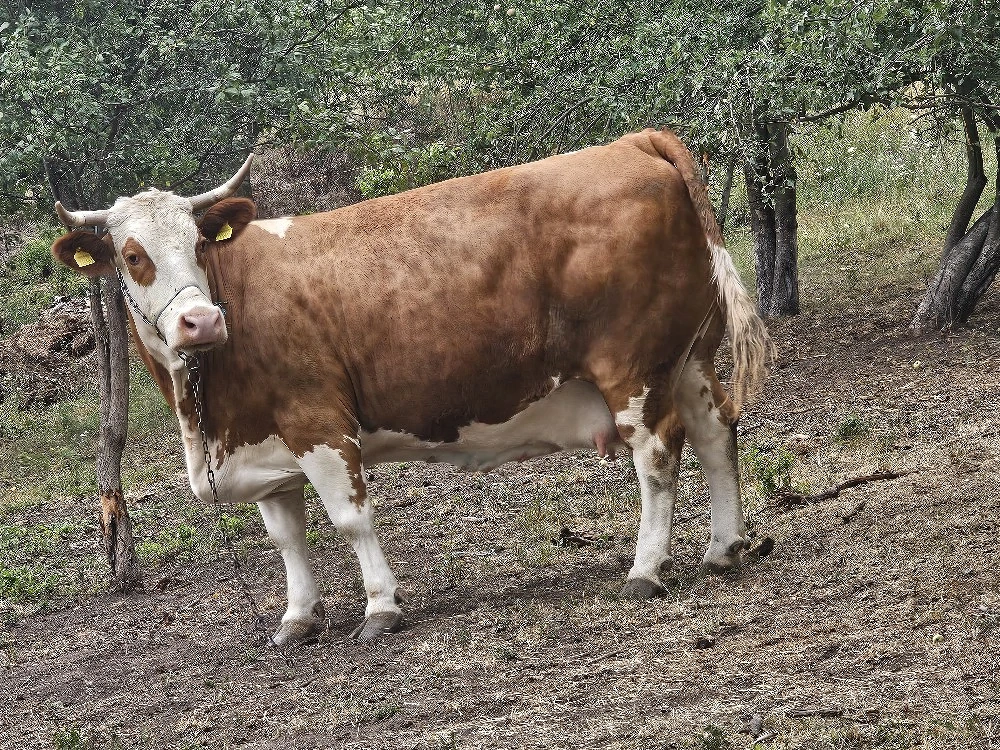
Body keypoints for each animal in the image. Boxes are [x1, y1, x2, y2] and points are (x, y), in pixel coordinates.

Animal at [52, 129, 774, 644]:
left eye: (200, 245)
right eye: (133, 256)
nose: (200, 320)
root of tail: (631, 144)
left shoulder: (318, 421)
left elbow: (350, 518)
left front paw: (380, 608)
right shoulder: (264, 443)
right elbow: (287, 538)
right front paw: (297, 619)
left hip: (632, 369)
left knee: (658, 456)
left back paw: (646, 569)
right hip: (687, 358)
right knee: (716, 432)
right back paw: (723, 548)